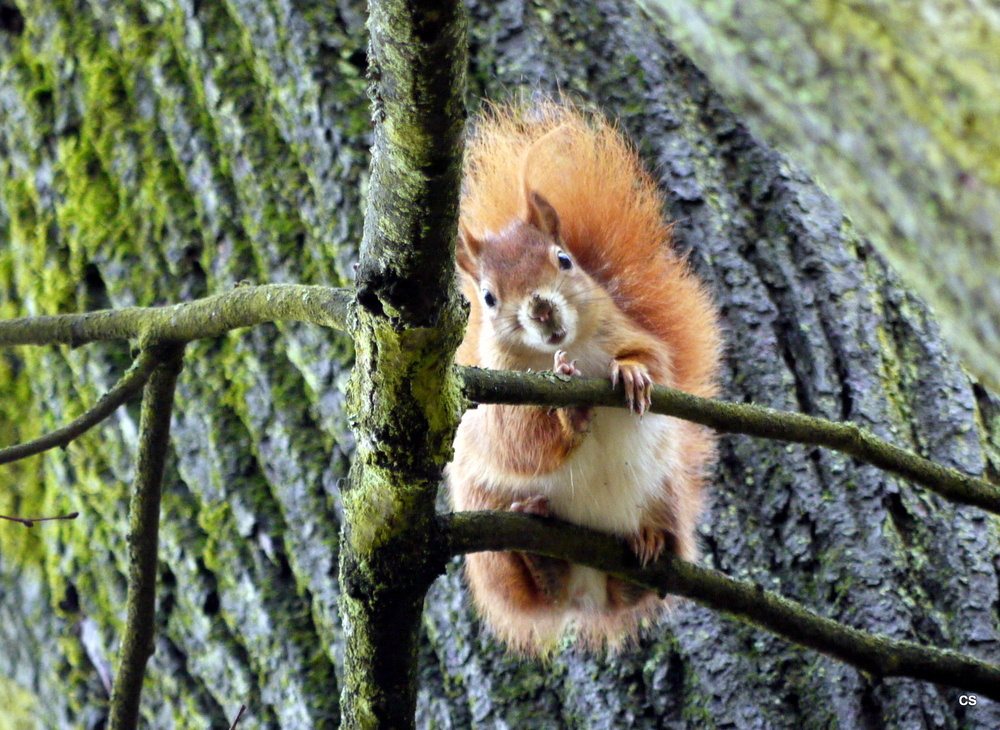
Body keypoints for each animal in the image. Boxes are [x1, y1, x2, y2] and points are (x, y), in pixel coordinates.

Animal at [450, 98, 724, 656]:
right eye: (488, 297)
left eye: (564, 259)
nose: (542, 309)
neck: (566, 350)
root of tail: (587, 594)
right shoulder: (488, 396)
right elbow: (515, 442)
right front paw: (569, 415)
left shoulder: (624, 329)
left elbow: (656, 361)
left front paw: (633, 374)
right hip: (488, 535)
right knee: (538, 593)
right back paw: (542, 557)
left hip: (664, 495)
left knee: (636, 589)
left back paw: (647, 545)